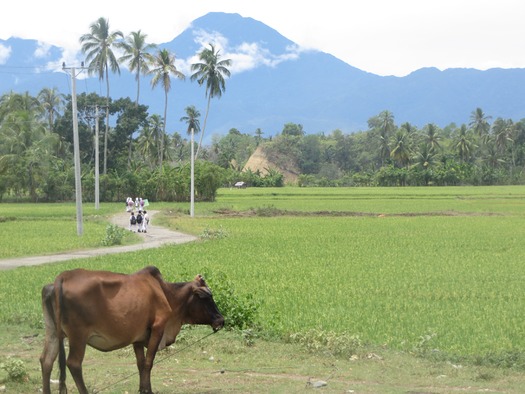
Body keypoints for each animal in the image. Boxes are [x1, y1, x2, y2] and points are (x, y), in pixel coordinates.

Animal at [39, 266, 223, 394]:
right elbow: (148, 363)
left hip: (52, 332)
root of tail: (63, 277)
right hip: (78, 336)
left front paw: (143, 389)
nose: (221, 320)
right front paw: (148, 390)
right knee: (73, 363)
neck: (167, 294)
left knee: (46, 360)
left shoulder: (138, 337)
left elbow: (140, 364)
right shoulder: (158, 328)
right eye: (206, 297)